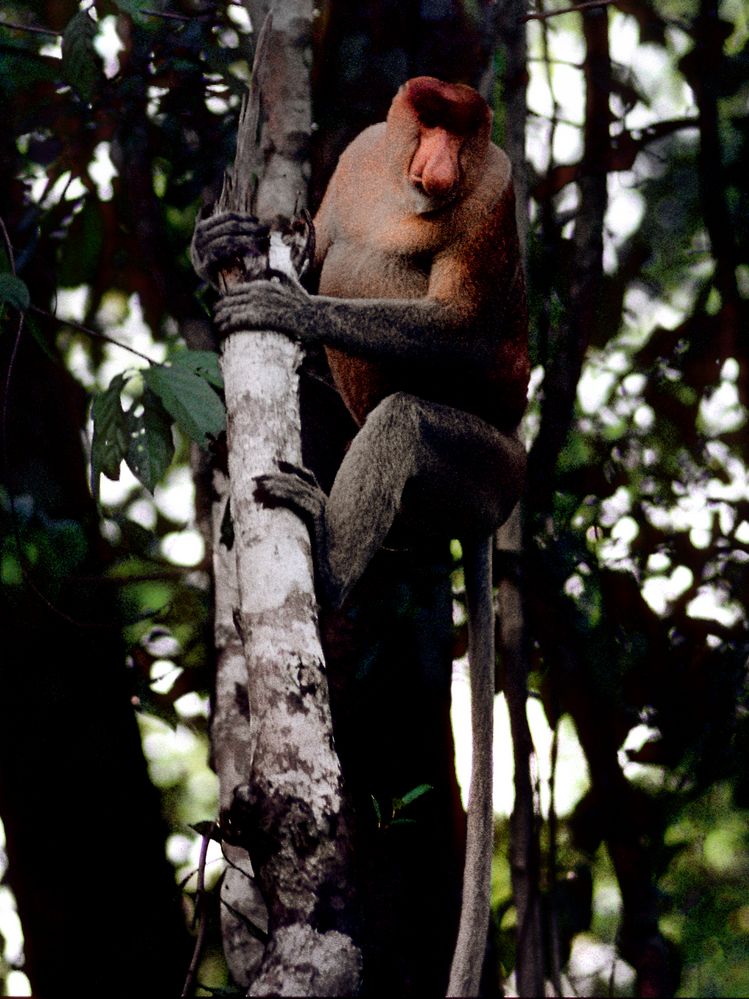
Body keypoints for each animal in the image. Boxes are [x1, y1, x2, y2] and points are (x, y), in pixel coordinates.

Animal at [196, 76, 528, 992]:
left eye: (462, 132)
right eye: (428, 120)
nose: (439, 161)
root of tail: (494, 508)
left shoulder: (493, 192)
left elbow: (458, 321)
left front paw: (287, 304)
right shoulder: (359, 155)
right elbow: (316, 241)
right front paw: (226, 241)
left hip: (487, 465)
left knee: (405, 416)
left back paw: (325, 558)